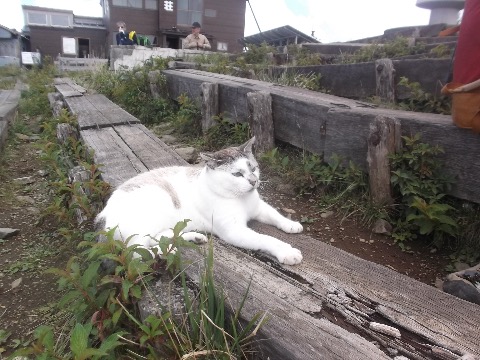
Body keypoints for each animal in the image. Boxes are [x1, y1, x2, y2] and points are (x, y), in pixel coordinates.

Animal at [95, 137, 302, 264]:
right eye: (237, 174)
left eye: (253, 168)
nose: (254, 181)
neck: (242, 199)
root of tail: (102, 216)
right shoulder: (234, 231)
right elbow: (266, 239)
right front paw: (287, 252)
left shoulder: (259, 208)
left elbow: (276, 215)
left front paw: (291, 225)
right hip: (147, 218)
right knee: (136, 251)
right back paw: (167, 252)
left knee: (160, 238)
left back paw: (192, 238)